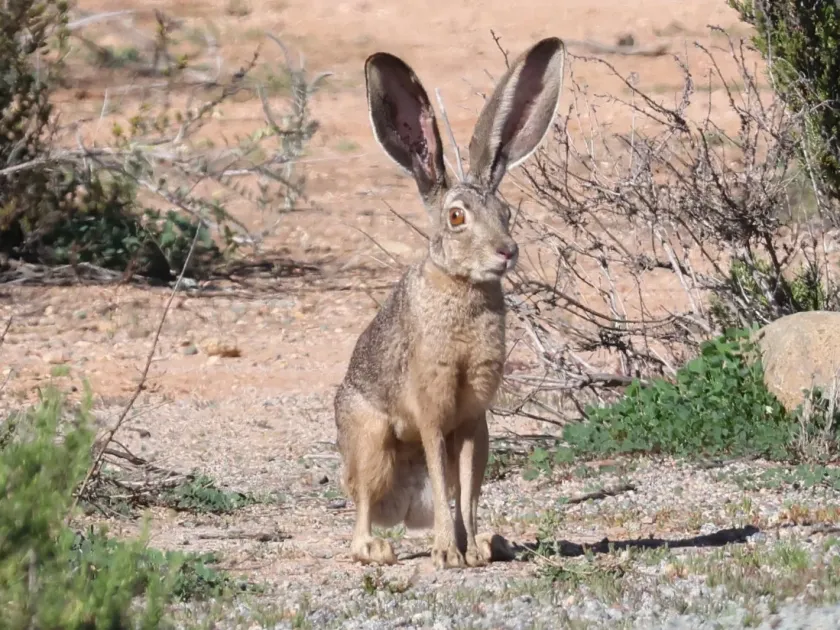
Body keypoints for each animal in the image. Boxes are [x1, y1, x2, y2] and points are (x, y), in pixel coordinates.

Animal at [334, 37, 566, 569]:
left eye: (506, 212)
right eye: (457, 217)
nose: (507, 251)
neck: (463, 286)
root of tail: (400, 511)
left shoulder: (473, 418)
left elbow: (467, 488)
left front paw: (471, 549)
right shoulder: (432, 410)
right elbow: (445, 483)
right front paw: (446, 552)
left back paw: (492, 543)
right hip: (369, 440)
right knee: (362, 503)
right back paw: (377, 548)